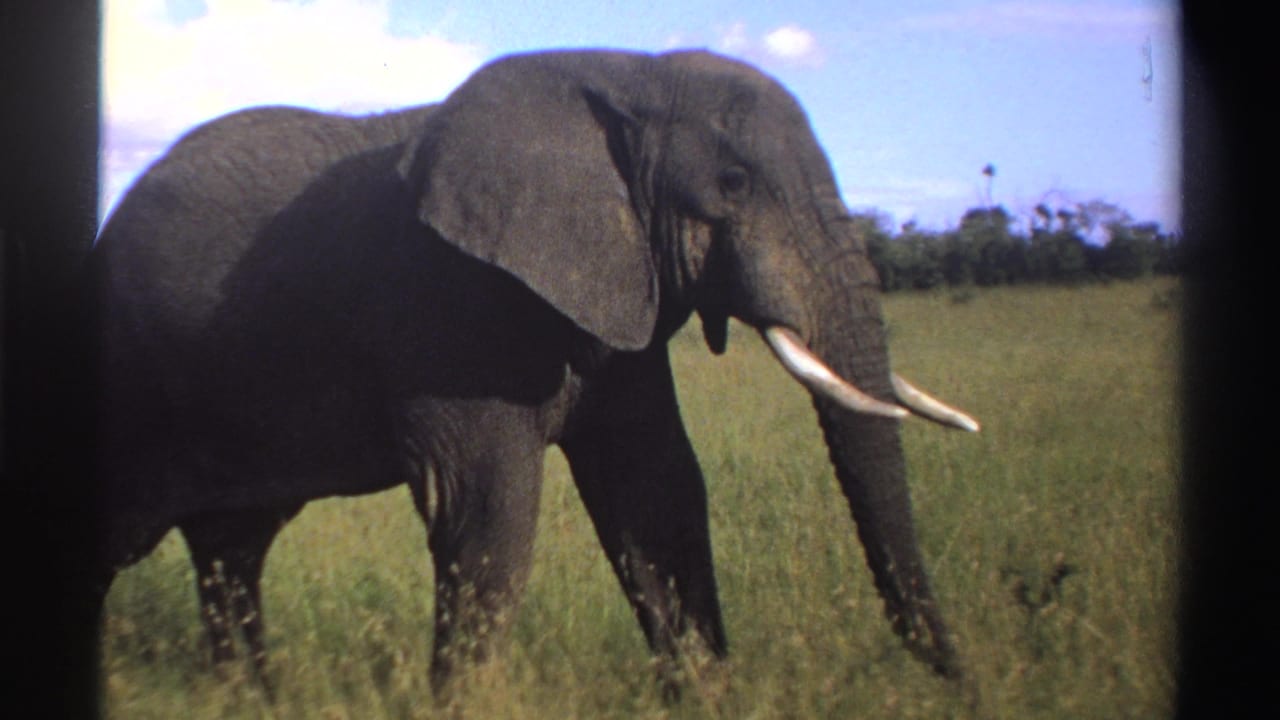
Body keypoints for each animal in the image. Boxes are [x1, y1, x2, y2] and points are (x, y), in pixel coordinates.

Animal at [88, 48, 980, 695]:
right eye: (733, 183)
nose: (965, 685)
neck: (627, 75)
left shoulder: (618, 303)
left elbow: (656, 490)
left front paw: (707, 696)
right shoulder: (454, 307)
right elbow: (490, 511)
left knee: (232, 553)